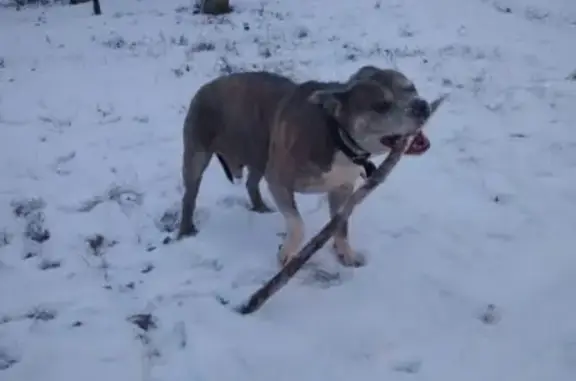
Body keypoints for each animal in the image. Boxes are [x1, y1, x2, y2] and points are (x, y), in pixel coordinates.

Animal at [264, 67, 430, 268]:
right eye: (381, 105)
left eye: (411, 88)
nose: (421, 105)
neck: (338, 139)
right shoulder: (277, 180)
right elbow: (297, 223)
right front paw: (288, 252)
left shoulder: (342, 189)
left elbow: (341, 224)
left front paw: (346, 252)